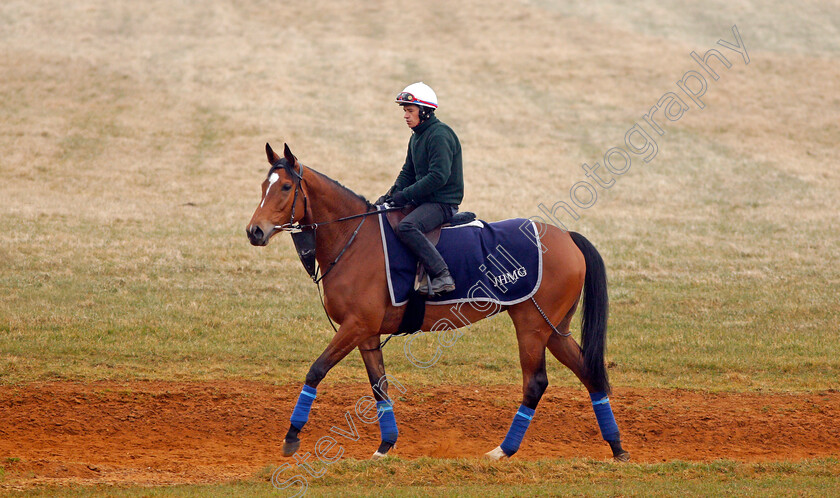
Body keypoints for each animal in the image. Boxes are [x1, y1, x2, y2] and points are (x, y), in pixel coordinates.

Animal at [246, 142, 628, 462]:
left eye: (285, 187)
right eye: (263, 186)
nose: (255, 231)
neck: (353, 240)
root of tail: (567, 236)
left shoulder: (355, 326)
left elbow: (316, 370)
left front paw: (292, 436)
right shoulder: (367, 333)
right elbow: (379, 387)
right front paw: (385, 446)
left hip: (532, 326)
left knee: (535, 383)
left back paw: (503, 450)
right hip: (555, 330)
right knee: (590, 374)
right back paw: (617, 447)